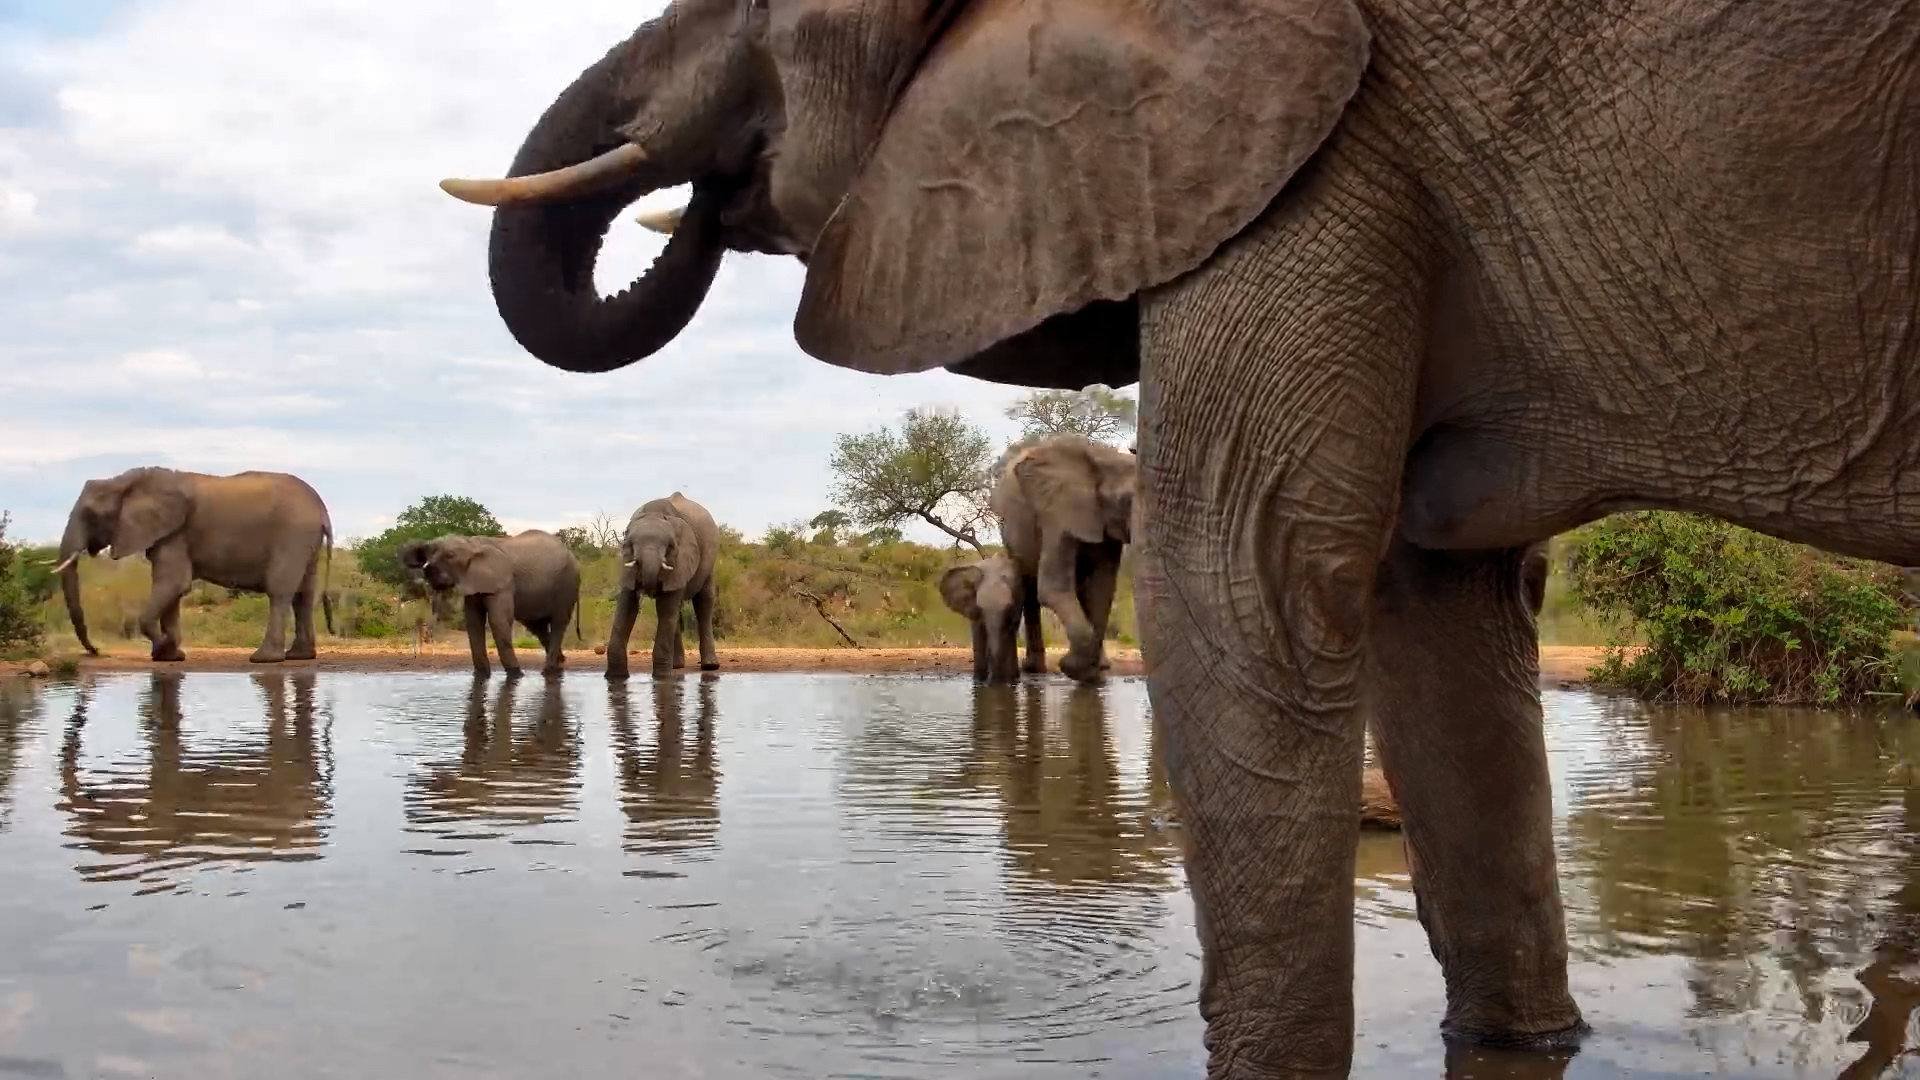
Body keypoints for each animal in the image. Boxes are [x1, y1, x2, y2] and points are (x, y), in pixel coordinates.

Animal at [55, 467, 334, 663]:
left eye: (91, 514)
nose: (96, 651)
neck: (125, 482)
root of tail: (321, 508)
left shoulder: (175, 532)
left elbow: (174, 583)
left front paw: (165, 647)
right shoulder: (167, 533)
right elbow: (172, 589)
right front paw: (169, 656)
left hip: (292, 535)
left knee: (280, 591)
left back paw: (264, 659)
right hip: (306, 542)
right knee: (304, 594)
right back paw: (299, 656)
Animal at [398, 531, 582, 679]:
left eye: (450, 556)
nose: (425, 569)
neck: (471, 544)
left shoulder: (502, 583)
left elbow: (498, 621)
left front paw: (516, 676)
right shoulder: (473, 582)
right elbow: (473, 623)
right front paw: (481, 676)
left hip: (567, 584)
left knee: (558, 623)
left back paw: (548, 671)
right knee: (538, 627)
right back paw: (559, 665)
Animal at [605, 493, 721, 681]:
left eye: (670, 546)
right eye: (630, 545)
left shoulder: (681, 559)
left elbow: (665, 607)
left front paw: (661, 678)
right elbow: (626, 606)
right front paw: (615, 678)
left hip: (709, 559)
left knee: (704, 602)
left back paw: (709, 666)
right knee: (677, 609)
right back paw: (676, 666)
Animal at [938, 553, 1025, 684]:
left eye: (1009, 607)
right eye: (980, 607)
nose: (992, 681)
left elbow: (1009, 632)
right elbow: (978, 633)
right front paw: (978, 682)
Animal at [989, 435, 1137, 682]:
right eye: (1126, 500)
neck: (1107, 460)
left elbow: (1101, 591)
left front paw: (1091, 673)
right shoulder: (1057, 512)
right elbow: (1053, 589)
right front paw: (1073, 668)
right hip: (1011, 526)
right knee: (1029, 586)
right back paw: (1034, 669)